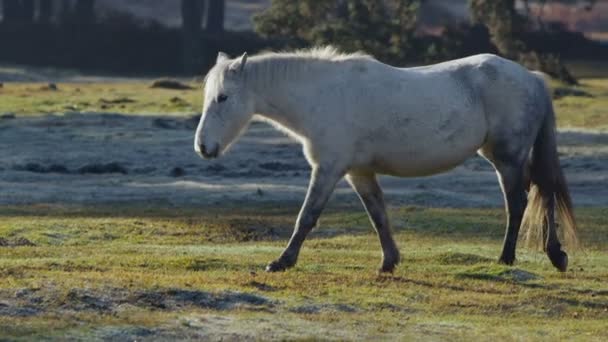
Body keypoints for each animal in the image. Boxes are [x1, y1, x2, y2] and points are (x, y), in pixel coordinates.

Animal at [196, 47, 580, 272]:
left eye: (223, 97)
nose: (203, 147)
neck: (322, 95)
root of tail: (531, 78)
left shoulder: (328, 169)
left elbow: (306, 217)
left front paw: (282, 261)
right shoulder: (358, 173)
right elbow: (378, 215)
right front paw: (389, 262)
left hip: (507, 158)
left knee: (519, 203)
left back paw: (508, 258)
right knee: (543, 192)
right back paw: (554, 254)